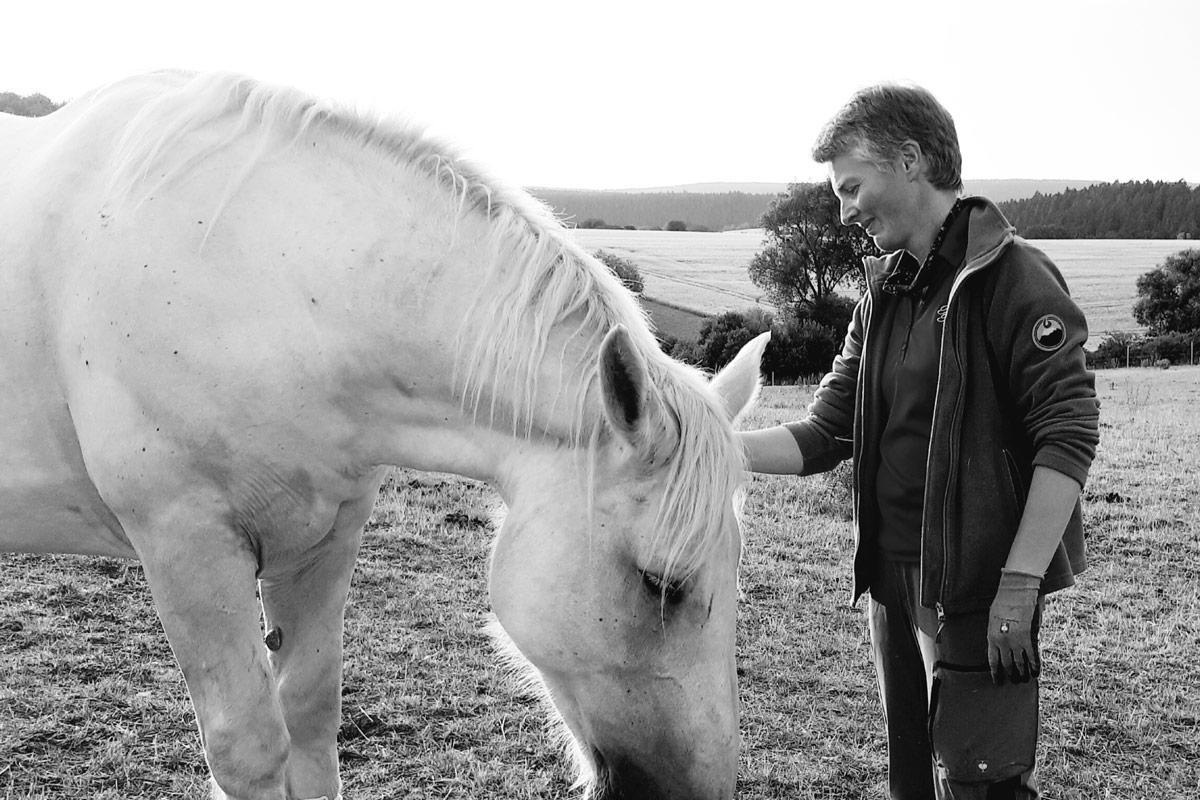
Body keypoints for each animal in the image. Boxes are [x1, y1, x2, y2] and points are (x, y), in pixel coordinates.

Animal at [0, 71, 768, 796]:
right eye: (660, 584)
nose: (697, 792)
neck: (262, 285)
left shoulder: (321, 541)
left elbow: (310, 722)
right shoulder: (187, 548)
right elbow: (250, 751)